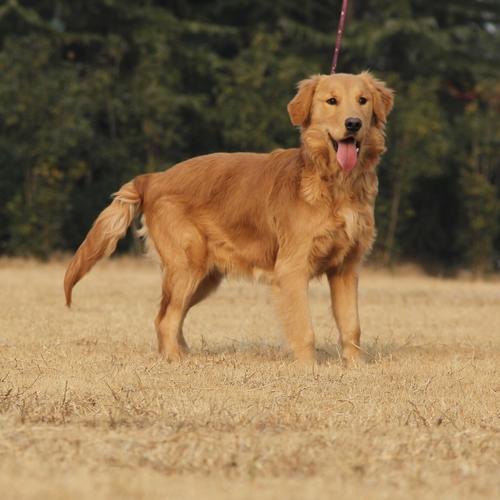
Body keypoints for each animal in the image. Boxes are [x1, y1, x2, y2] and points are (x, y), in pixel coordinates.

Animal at [64, 71, 394, 364]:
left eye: (362, 100)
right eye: (332, 101)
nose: (353, 123)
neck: (335, 184)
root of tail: (152, 178)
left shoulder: (346, 269)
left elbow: (352, 327)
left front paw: (354, 367)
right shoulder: (292, 269)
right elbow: (304, 329)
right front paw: (308, 369)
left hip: (204, 277)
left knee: (169, 317)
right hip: (188, 266)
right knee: (165, 319)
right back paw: (177, 361)